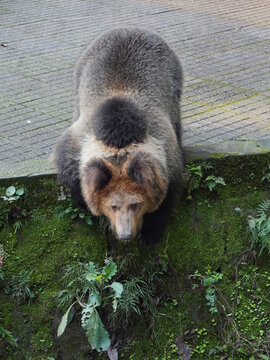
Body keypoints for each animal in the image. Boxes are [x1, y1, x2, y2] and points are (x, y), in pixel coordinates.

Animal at [51, 26, 185, 243]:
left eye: (135, 204)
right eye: (112, 205)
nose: (125, 235)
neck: (119, 141)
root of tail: (130, 28)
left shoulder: (166, 151)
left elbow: (167, 193)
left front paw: (150, 232)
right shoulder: (78, 140)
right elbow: (69, 168)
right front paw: (81, 199)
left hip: (174, 85)